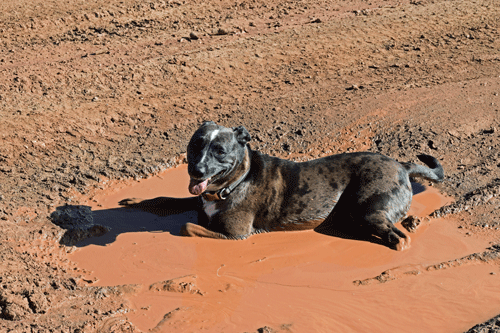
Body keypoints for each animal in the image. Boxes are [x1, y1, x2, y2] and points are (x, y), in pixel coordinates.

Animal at [119, 121, 444, 249]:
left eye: (220, 151)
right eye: (195, 144)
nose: (196, 170)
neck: (236, 181)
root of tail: (400, 164)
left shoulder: (236, 235)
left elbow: (187, 226)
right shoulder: (201, 195)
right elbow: (167, 199)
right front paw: (135, 202)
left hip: (369, 208)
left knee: (397, 236)